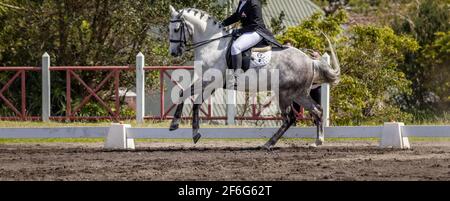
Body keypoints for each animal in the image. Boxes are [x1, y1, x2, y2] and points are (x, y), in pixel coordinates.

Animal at [167, 5, 340, 149]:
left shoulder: (209, 80)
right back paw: (317, 142)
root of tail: (310, 61)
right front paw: (195, 133)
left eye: (176, 29)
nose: (174, 52)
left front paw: (174, 124)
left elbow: (185, 93)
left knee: (290, 118)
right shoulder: (211, 84)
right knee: (317, 111)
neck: (211, 46)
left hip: (285, 94)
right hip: (299, 94)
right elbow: (195, 101)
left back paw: (269, 144)